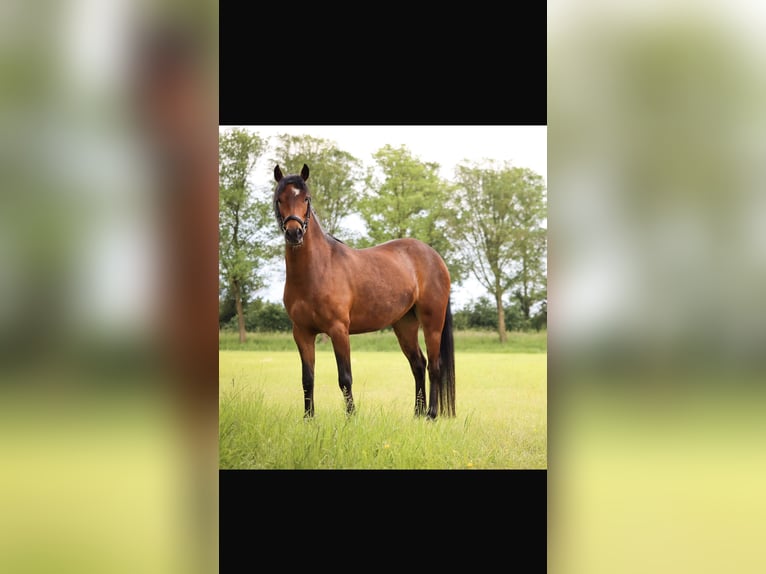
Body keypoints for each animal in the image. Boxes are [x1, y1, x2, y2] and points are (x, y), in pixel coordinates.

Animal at [276, 164, 456, 420]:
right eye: (279, 199)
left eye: (306, 199)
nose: (294, 233)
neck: (317, 269)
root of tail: (434, 257)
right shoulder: (302, 332)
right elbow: (307, 378)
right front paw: (308, 418)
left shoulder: (339, 330)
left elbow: (344, 378)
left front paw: (351, 417)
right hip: (405, 325)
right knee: (418, 364)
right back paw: (417, 414)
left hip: (432, 323)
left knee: (434, 365)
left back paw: (431, 414)